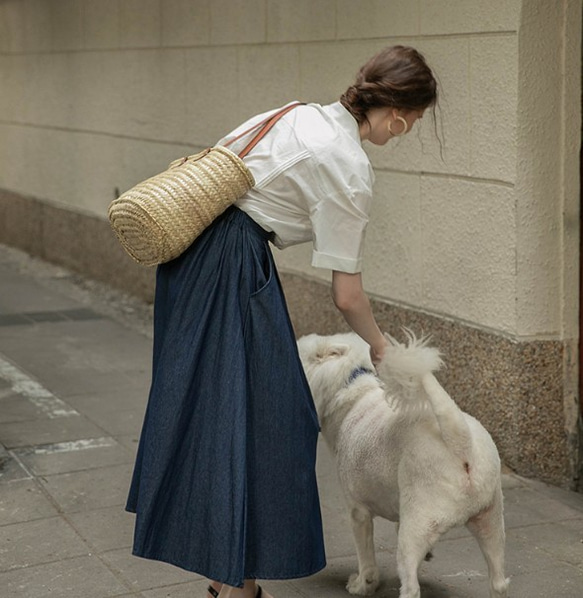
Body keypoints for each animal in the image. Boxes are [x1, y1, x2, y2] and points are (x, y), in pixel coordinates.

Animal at [298, 332, 508, 598]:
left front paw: (362, 585)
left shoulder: (358, 511)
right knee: (498, 582)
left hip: (415, 530)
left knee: (411, 586)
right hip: (492, 522)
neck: (354, 385)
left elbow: (366, 557)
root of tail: (461, 443)